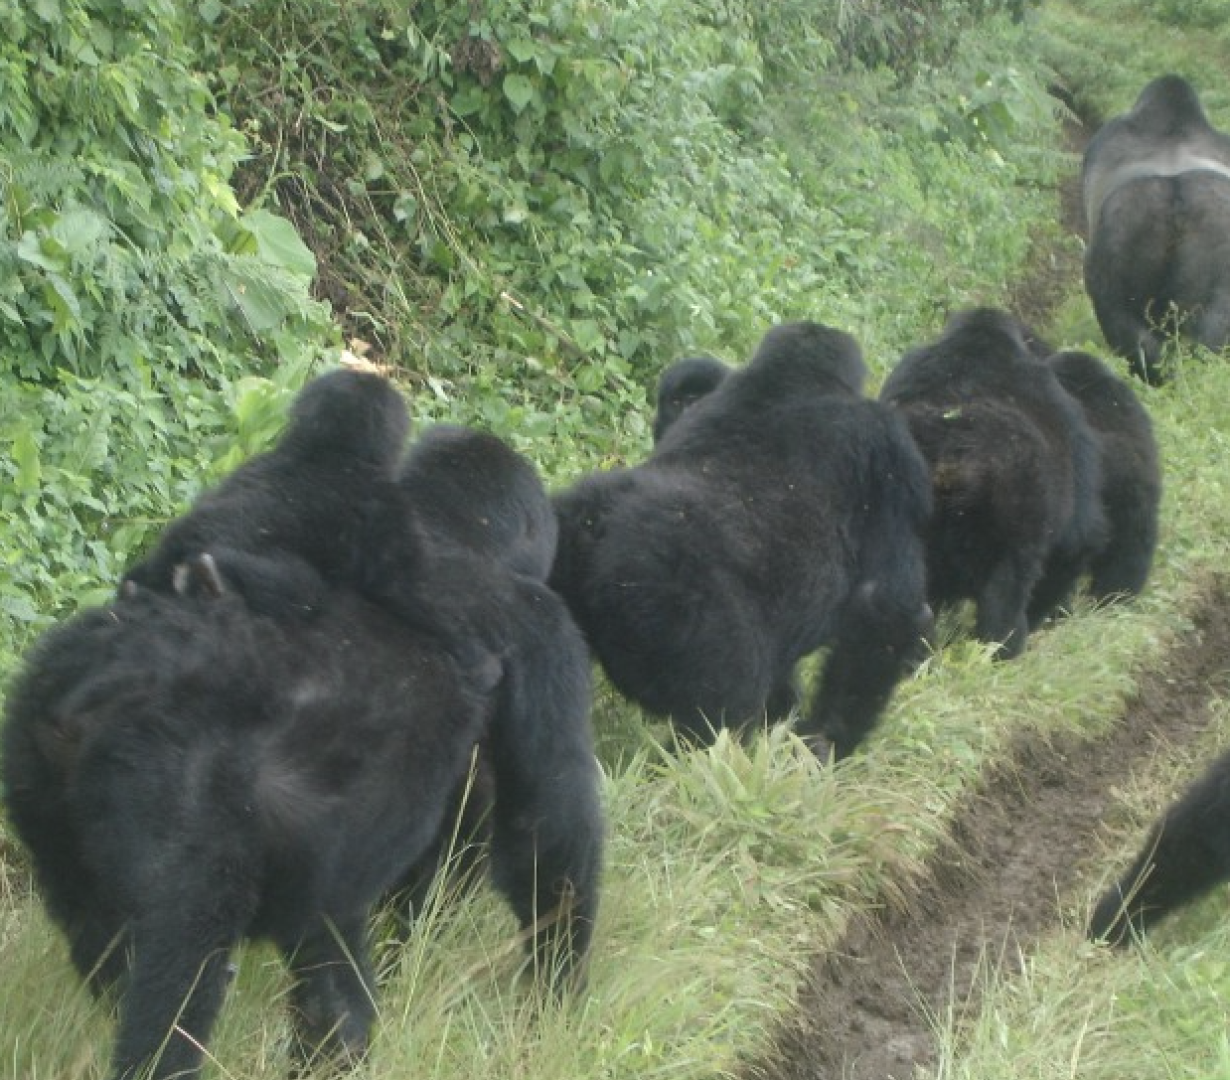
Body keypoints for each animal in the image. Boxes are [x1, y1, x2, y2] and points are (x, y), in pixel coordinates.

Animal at [551, 322, 929, 762]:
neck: (783, 378)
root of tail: (596, 526)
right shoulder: (890, 450)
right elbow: (885, 603)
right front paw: (823, 742)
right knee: (722, 718)